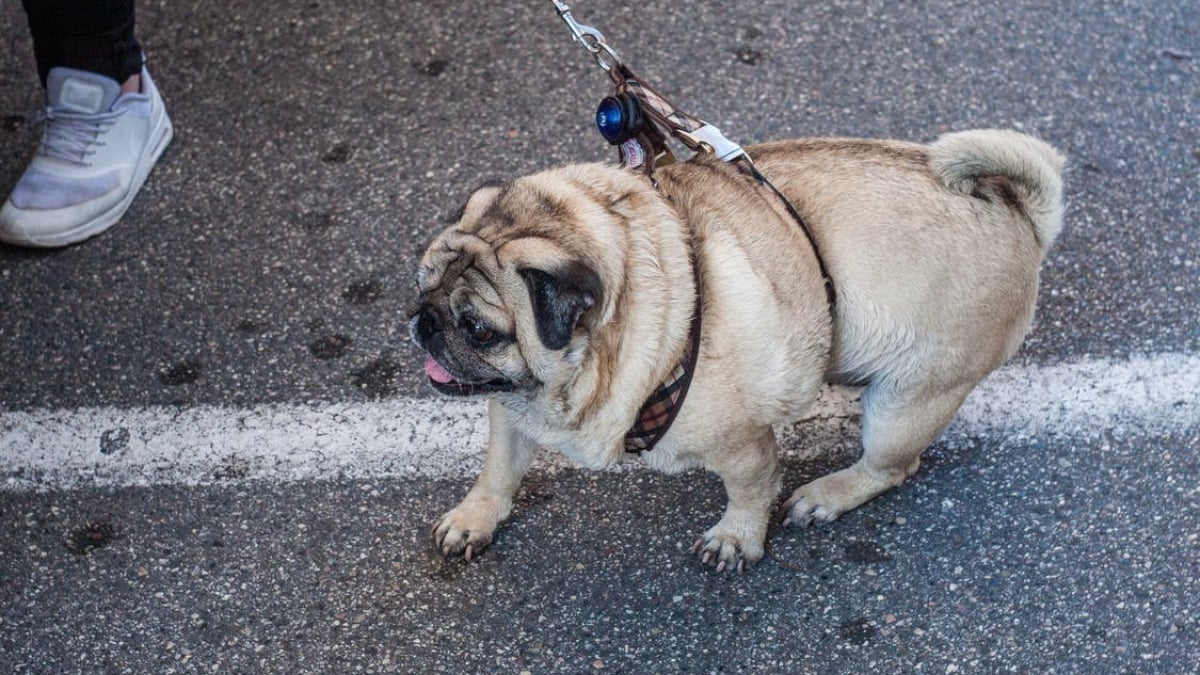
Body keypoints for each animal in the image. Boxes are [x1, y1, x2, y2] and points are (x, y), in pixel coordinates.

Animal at [410, 128, 1060, 569]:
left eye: (478, 329)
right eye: (422, 282)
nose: (426, 323)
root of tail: (1019, 213)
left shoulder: (742, 444)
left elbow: (750, 489)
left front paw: (737, 537)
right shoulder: (510, 407)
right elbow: (498, 467)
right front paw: (476, 517)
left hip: (910, 399)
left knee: (893, 464)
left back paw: (828, 495)